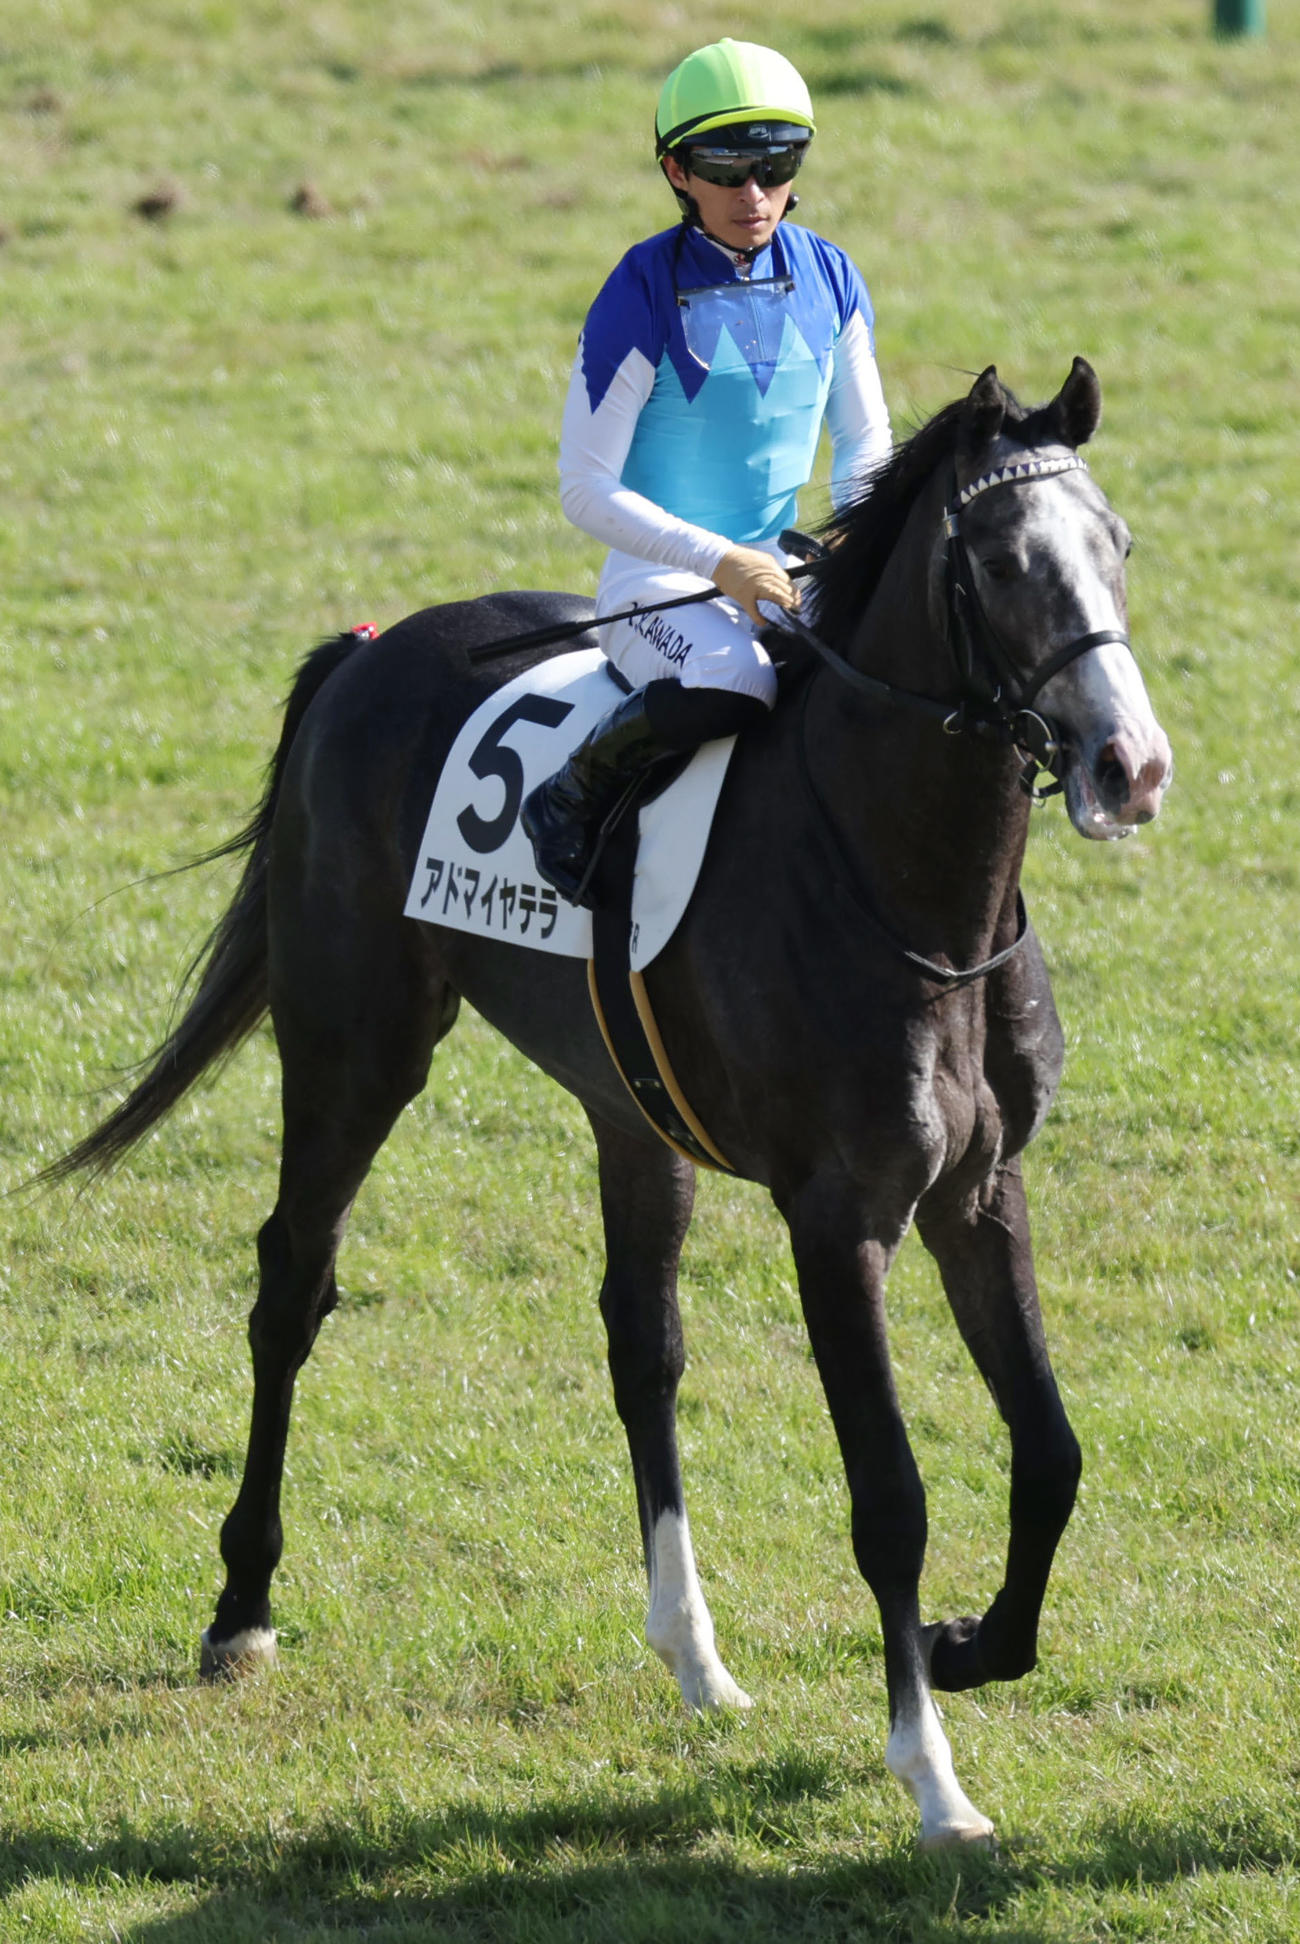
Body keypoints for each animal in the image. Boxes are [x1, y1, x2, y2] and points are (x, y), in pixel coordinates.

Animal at [48, 359, 1171, 1849]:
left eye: (1117, 544)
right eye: (997, 563)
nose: (1129, 765)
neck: (913, 893)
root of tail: (368, 649)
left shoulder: (980, 1193)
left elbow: (1050, 1453)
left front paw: (969, 1646)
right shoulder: (840, 1219)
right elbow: (891, 1497)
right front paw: (932, 1775)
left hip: (631, 1118)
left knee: (642, 1342)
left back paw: (694, 1655)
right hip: (357, 1041)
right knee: (292, 1283)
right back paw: (240, 1610)